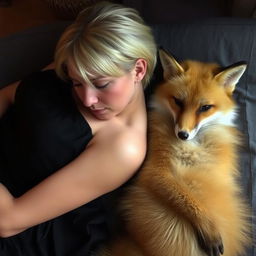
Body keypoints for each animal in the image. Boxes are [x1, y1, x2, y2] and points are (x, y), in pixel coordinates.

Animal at [97, 50, 250, 256]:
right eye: (178, 102)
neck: (192, 147)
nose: (183, 134)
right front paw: (208, 228)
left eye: (205, 108)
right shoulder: (155, 172)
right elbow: (188, 201)